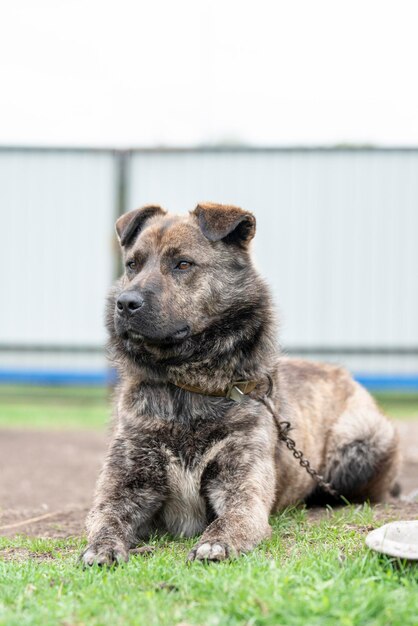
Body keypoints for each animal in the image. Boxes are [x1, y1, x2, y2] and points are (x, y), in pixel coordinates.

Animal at [81, 202, 398, 564]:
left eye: (183, 264)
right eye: (132, 265)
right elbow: (106, 517)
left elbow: (232, 519)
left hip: (360, 443)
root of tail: (343, 373)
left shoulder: (242, 490)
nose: (125, 303)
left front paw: (216, 542)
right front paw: (103, 546)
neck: (188, 390)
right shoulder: (125, 484)